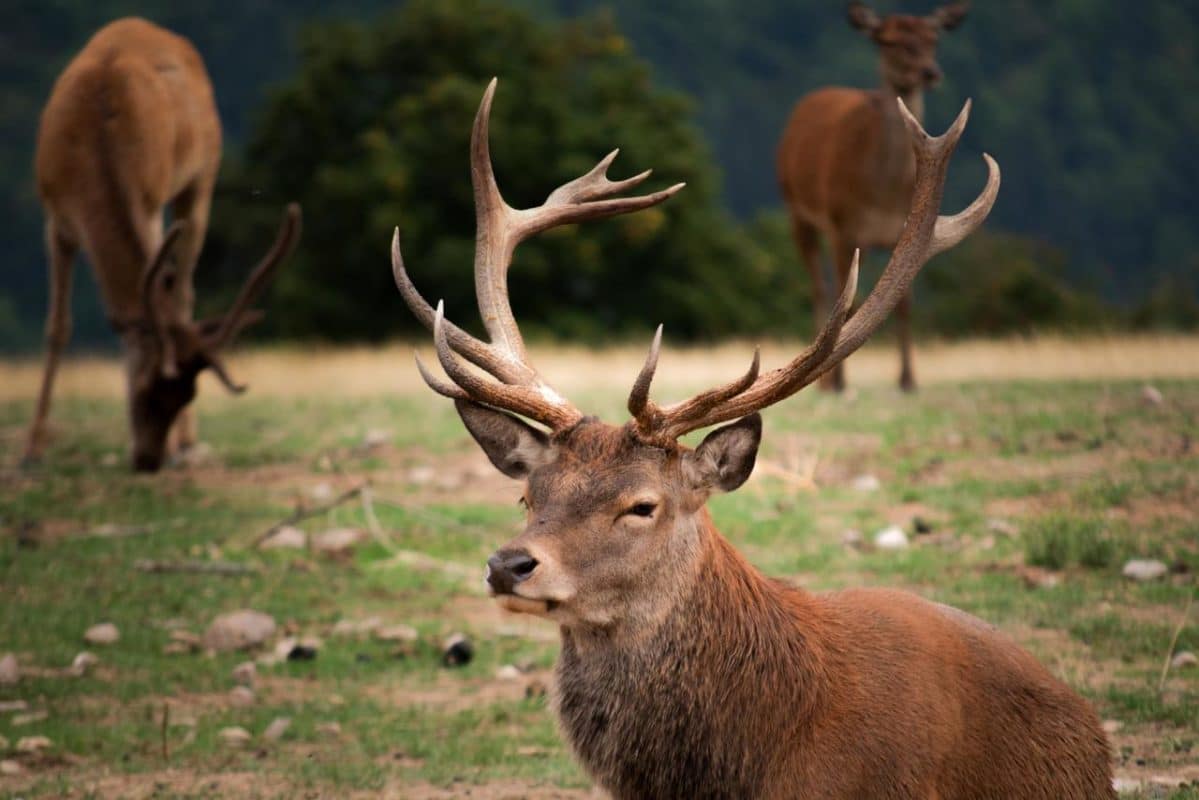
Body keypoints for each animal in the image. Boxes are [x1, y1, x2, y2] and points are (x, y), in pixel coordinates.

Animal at [23, 17, 299, 470]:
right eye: (148, 389)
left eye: (186, 394)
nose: (148, 460)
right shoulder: (55, 216)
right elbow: (58, 326)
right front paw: (33, 448)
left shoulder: (150, 199)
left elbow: (156, 296)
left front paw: (178, 444)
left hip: (201, 176)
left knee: (183, 291)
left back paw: (188, 443)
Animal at [776, 2, 973, 391]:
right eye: (888, 41)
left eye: (933, 38)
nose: (929, 72)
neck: (885, 192)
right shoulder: (842, 226)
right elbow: (845, 302)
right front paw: (838, 383)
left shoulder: (903, 230)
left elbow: (903, 304)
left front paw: (908, 379)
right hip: (798, 211)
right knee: (820, 287)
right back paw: (824, 382)